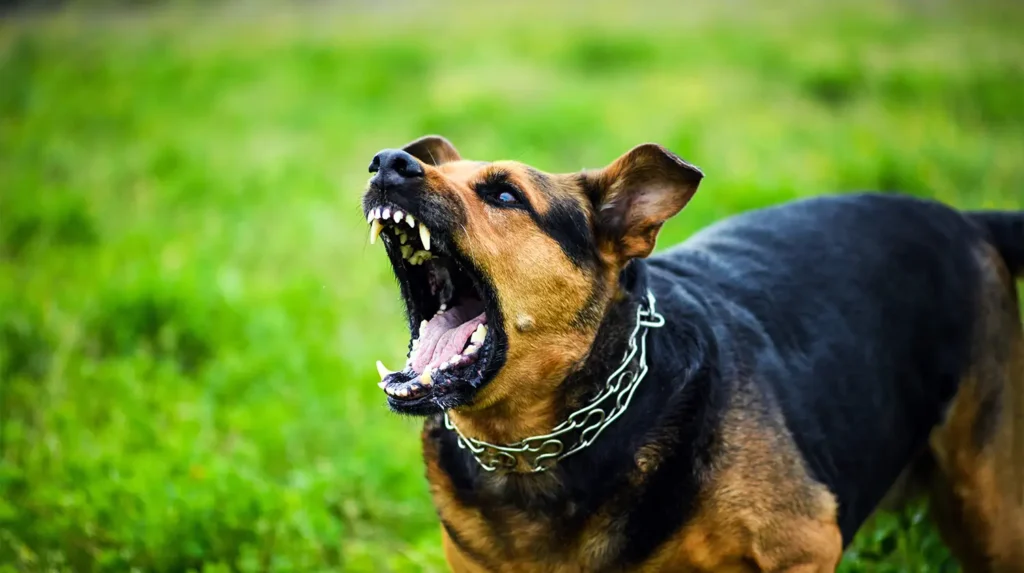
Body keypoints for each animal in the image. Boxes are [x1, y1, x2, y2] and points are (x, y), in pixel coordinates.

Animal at [362, 136, 1024, 568]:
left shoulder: (804, 545)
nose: (388, 162)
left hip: (990, 506)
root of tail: (967, 221)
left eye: (504, 195)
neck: (529, 449)